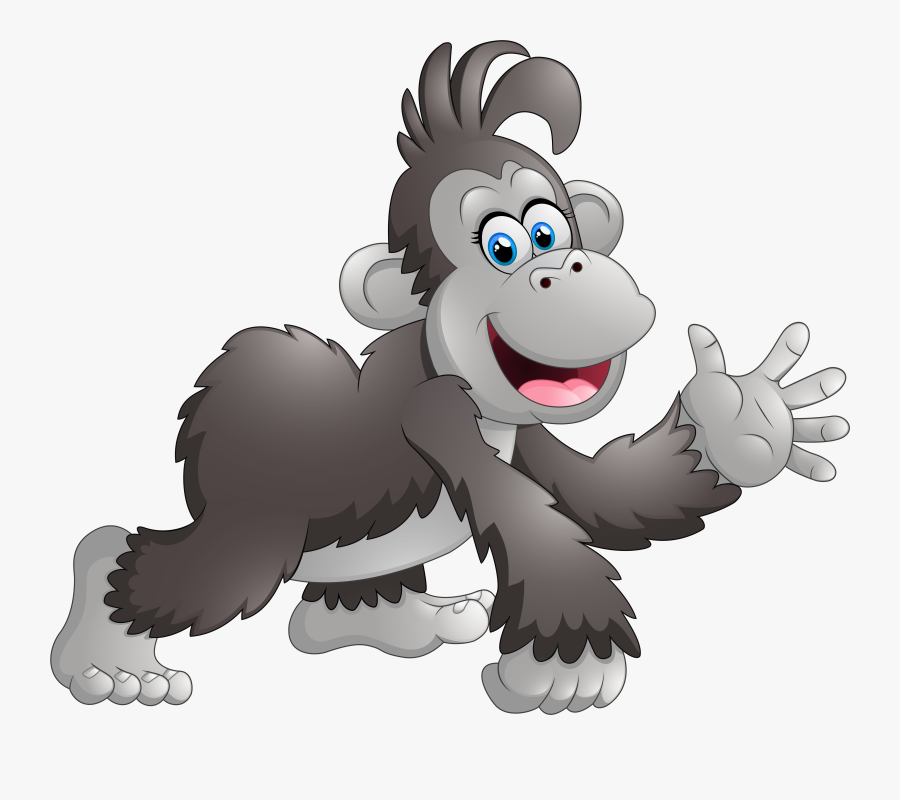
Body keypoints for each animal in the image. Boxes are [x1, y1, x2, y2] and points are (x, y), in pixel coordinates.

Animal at [51, 41, 849, 713]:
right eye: (503, 246)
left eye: (550, 230)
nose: (563, 266)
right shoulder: (432, 411)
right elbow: (530, 518)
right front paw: (572, 665)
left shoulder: (532, 432)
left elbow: (605, 492)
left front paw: (741, 419)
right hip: (257, 531)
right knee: (175, 572)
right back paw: (109, 656)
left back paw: (408, 621)